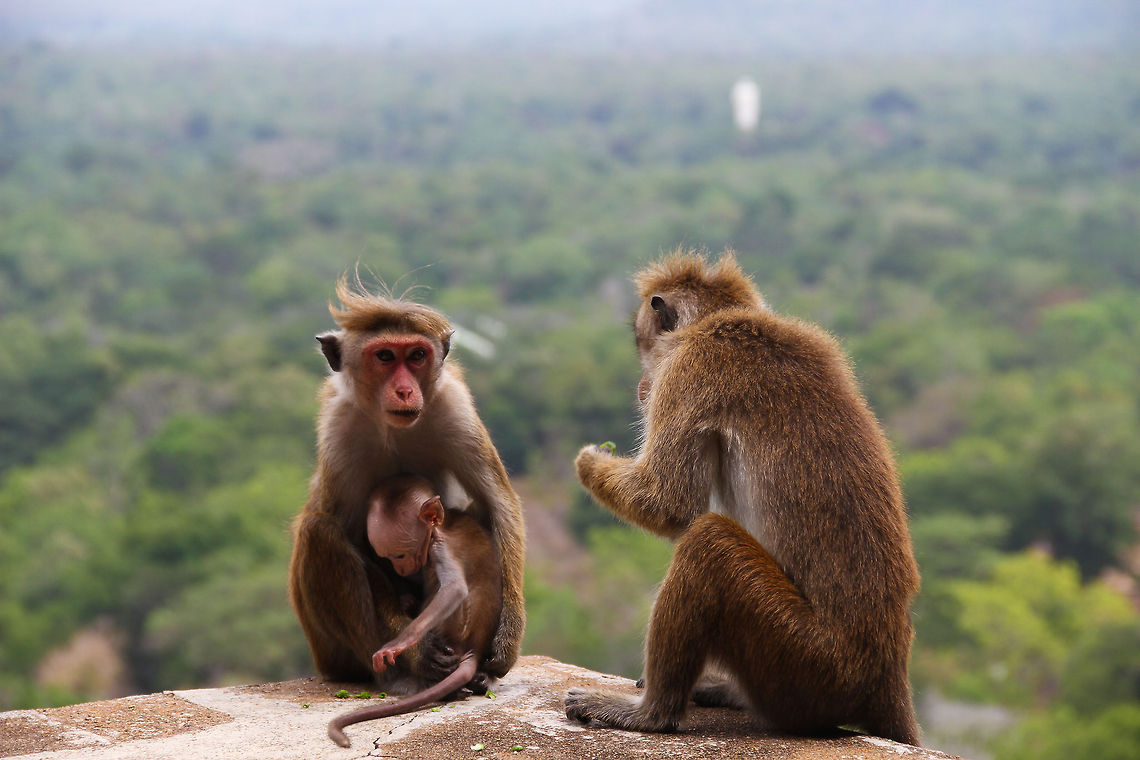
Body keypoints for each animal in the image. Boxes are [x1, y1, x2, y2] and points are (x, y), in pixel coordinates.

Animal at [288, 275, 525, 692]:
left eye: (416, 356)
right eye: (384, 357)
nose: (404, 390)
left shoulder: (454, 407)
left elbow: (497, 501)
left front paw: (507, 640)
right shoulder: (341, 430)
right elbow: (350, 533)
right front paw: (414, 650)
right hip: (330, 651)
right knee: (319, 530)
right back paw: (404, 672)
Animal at [328, 474, 501, 748]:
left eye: (399, 554)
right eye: (388, 557)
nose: (400, 569)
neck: (440, 528)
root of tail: (475, 648)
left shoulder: (439, 548)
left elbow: (454, 589)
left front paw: (398, 643)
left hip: (451, 628)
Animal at [563, 250, 921, 746]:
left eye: (644, 345)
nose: (641, 387)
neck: (730, 322)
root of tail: (887, 673)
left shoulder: (689, 368)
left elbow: (668, 503)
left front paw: (588, 461)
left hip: (808, 662)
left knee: (708, 542)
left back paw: (652, 714)